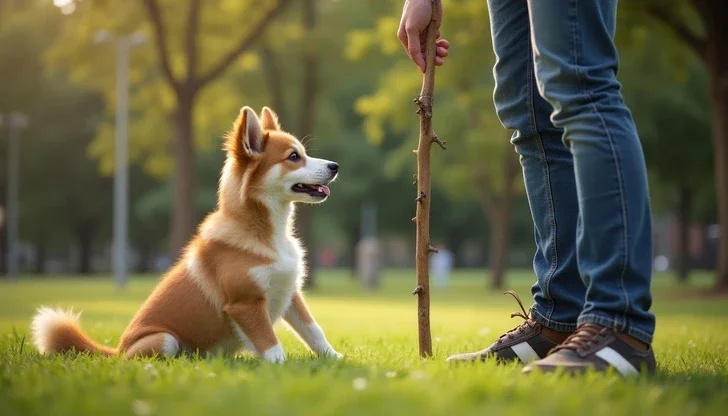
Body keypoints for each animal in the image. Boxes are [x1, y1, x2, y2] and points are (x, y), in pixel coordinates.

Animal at [29, 107, 342, 364]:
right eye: (293, 157)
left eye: (303, 153)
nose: (335, 166)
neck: (266, 233)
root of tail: (116, 352)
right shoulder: (246, 303)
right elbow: (269, 342)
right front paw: (279, 366)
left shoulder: (291, 293)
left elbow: (314, 330)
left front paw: (334, 358)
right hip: (164, 339)